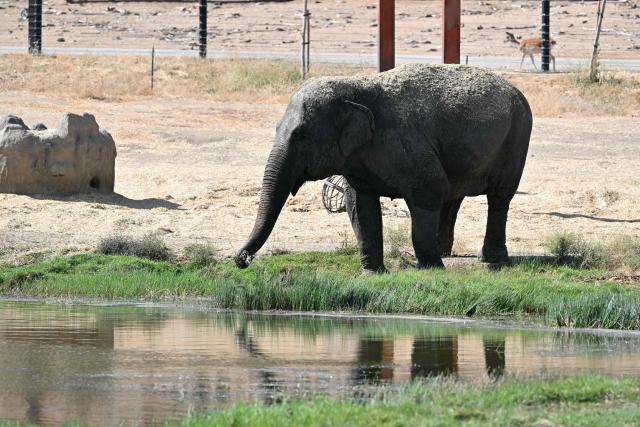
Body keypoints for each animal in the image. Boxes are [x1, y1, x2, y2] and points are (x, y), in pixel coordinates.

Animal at [235, 64, 532, 274]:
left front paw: (430, 269)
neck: (357, 88)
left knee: (499, 197)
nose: (241, 259)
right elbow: (360, 205)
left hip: (517, 136)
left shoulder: (405, 142)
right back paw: (447, 253)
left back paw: (491, 260)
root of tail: (515, 89)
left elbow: (429, 189)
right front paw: (372, 273)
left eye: (302, 136)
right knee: (453, 197)